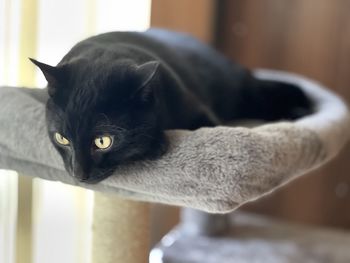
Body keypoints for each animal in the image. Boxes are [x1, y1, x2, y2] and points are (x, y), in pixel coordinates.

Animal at [30, 28, 312, 185]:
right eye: (62, 138)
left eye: (103, 141)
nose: (79, 175)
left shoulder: (204, 115)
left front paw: (155, 144)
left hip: (247, 94)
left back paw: (298, 113)